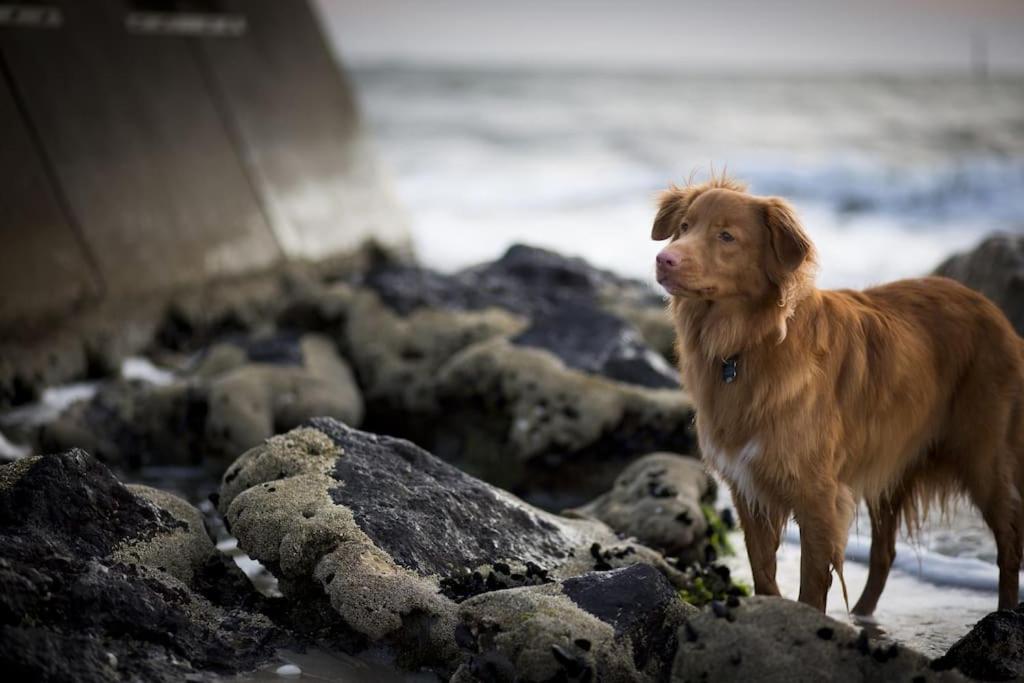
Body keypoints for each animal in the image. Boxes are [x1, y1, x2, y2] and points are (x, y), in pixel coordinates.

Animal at [651, 174, 1019, 610]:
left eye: (726, 236)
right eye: (684, 227)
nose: (664, 259)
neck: (747, 343)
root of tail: (990, 307)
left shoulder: (817, 494)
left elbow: (812, 584)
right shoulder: (748, 488)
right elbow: (763, 571)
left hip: (984, 459)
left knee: (1010, 543)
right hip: (893, 461)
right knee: (884, 551)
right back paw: (862, 615)